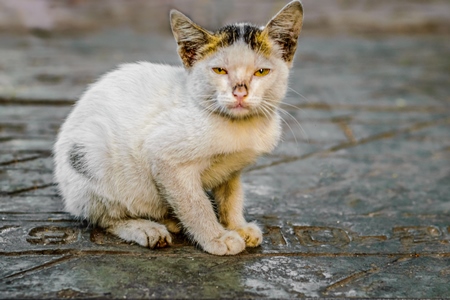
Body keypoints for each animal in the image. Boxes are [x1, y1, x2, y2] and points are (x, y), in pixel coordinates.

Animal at [54, 0, 304, 255]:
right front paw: (217, 237)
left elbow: (231, 196)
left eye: (261, 71)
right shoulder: (164, 157)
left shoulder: (232, 168)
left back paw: (170, 219)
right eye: (220, 70)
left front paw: (236, 225)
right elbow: (195, 203)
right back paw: (146, 228)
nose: (240, 93)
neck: (239, 126)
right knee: (104, 217)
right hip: (92, 157)